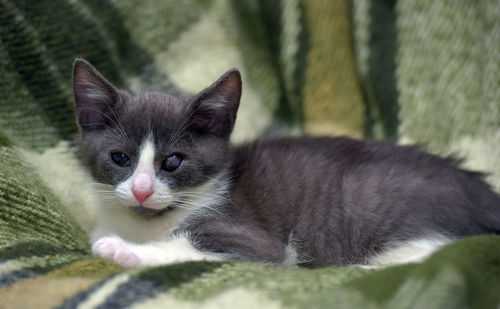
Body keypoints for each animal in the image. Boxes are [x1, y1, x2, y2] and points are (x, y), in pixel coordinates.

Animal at [72, 58, 500, 268]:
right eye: (120, 158)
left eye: (173, 162)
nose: (142, 190)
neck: (147, 222)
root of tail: (481, 191)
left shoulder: (254, 239)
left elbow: (193, 244)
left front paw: (121, 250)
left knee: (441, 250)